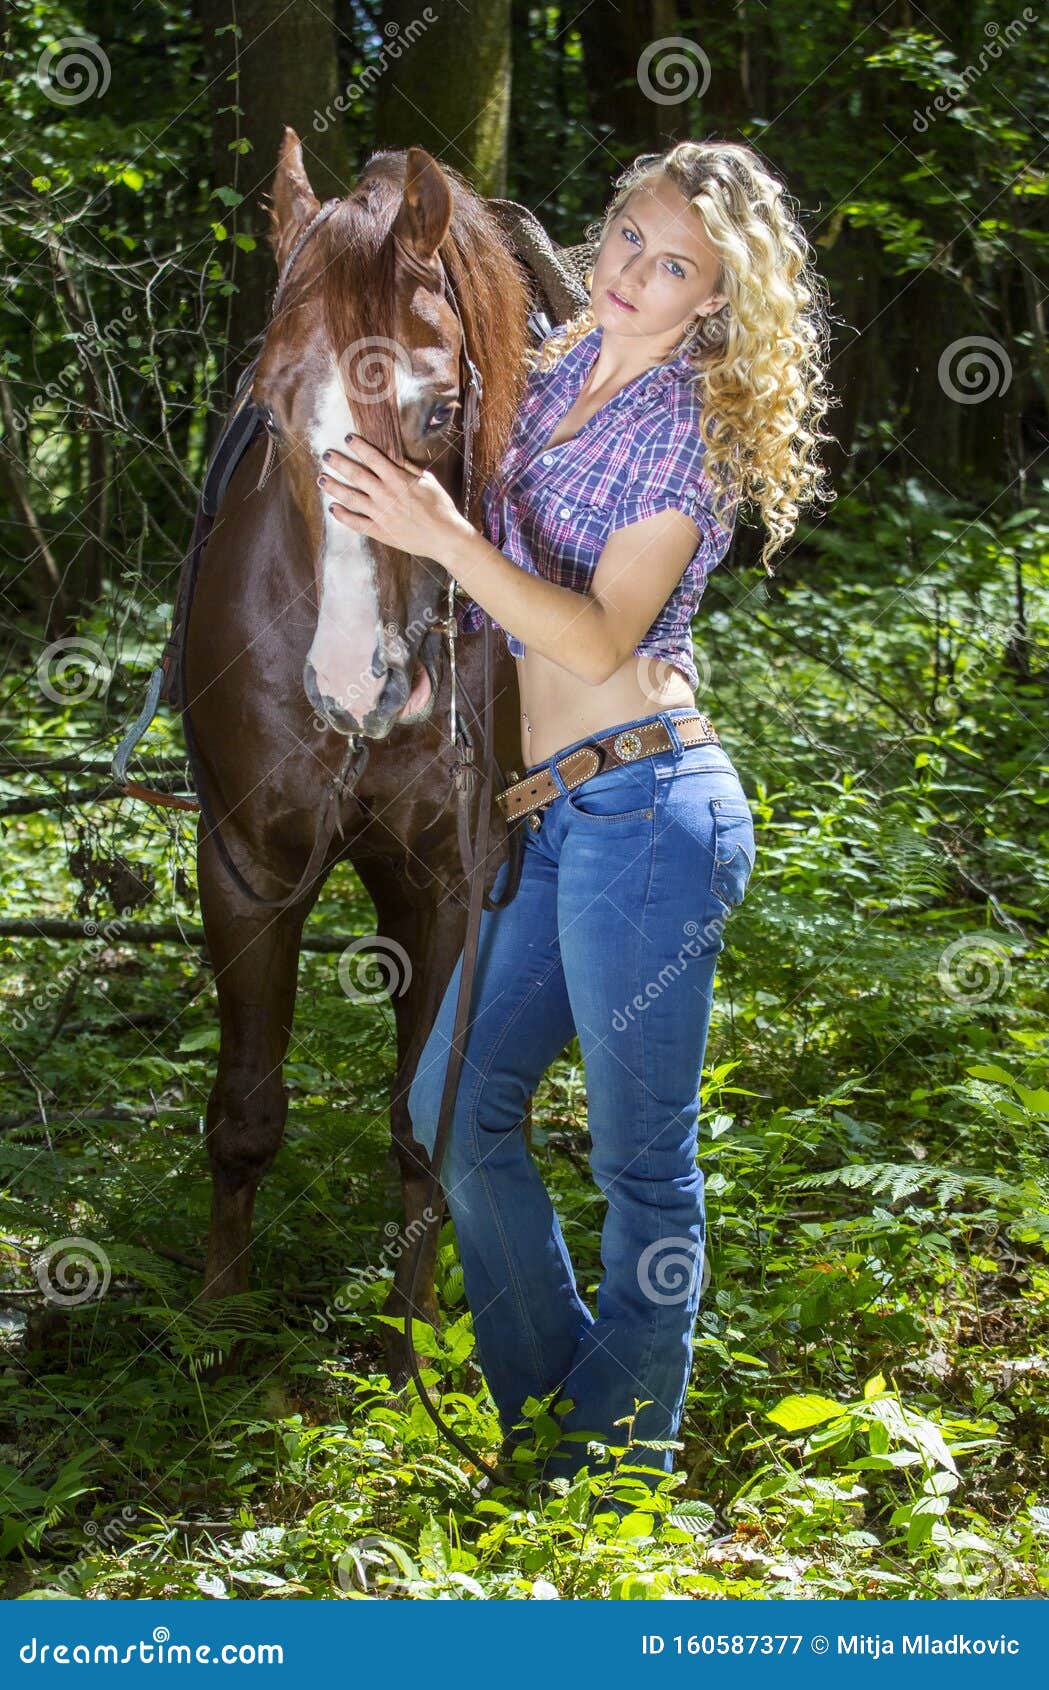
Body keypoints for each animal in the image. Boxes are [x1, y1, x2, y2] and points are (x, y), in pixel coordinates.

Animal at [179, 128, 530, 1372]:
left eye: (434, 414)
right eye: (273, 413)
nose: (350, 682)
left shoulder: (456, 881)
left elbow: (422, 1122)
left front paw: (411, 1347)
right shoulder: (246, 865)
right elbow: (244, 1112)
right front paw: (215, 1327)